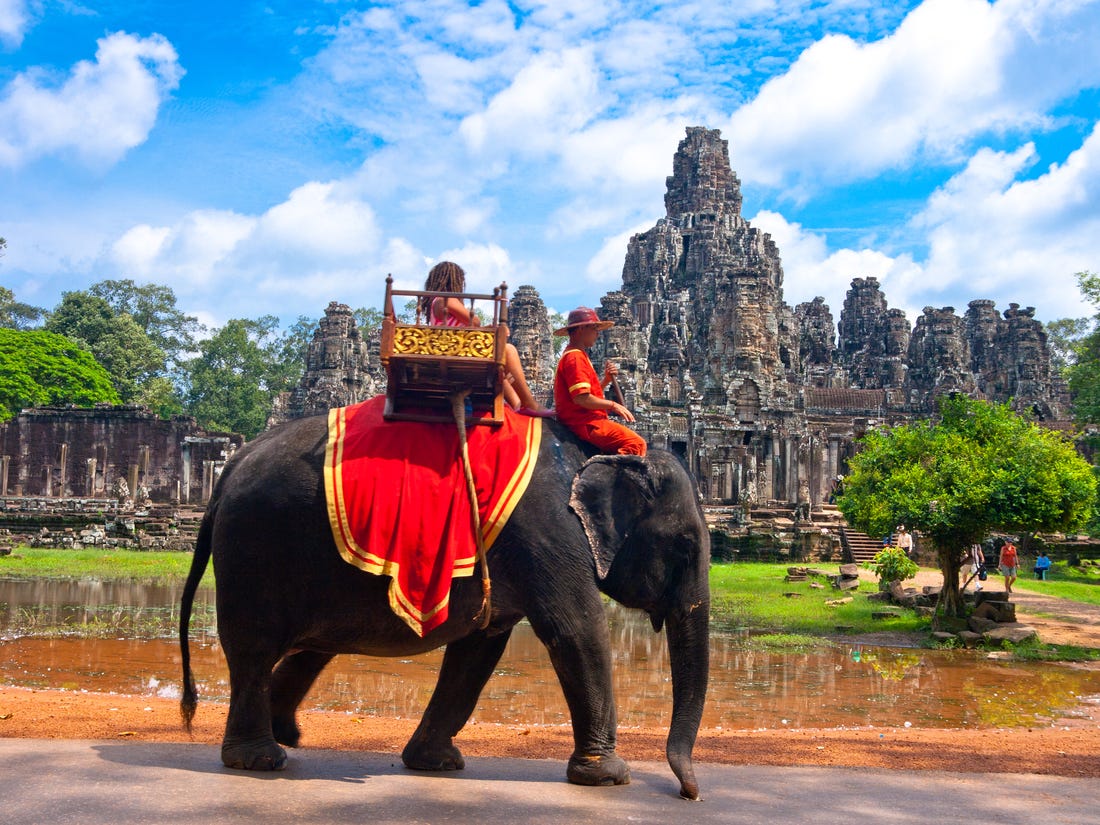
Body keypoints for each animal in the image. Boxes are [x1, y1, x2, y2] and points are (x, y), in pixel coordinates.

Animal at [178, 413, 712, 800]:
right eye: (685, 545)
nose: (689, 793)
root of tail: (232, 465)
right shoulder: (549, 530)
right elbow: (576, 629)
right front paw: (610, 777)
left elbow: (480, 647)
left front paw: (437, 764)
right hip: (254, 551)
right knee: (253, 651)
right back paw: (260, 759)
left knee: (310, 650)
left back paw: (286, 734)